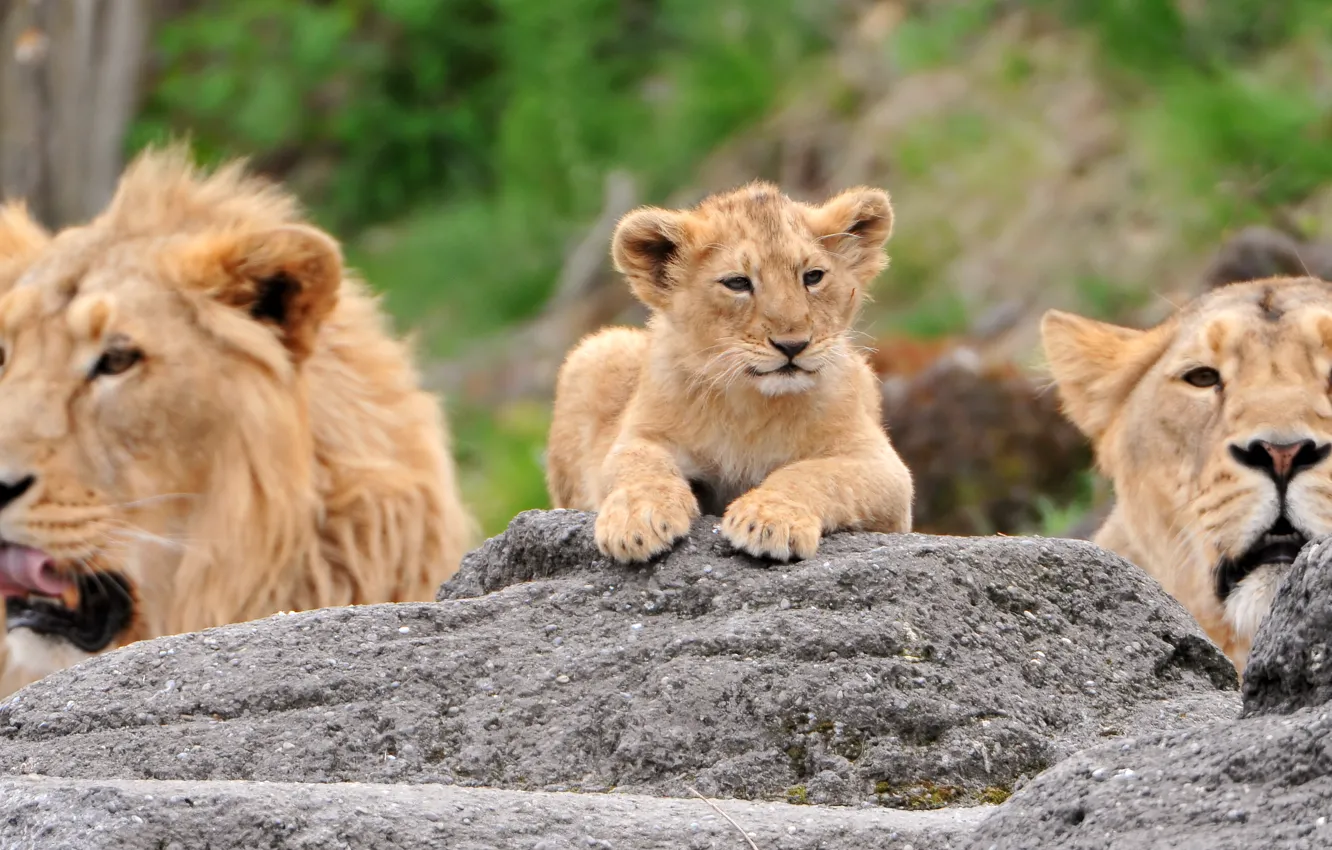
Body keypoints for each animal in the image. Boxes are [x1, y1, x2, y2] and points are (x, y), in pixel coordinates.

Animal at [545, 182, 913, 563]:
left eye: (813, 277)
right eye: (737, 283)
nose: (792, 345)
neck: (751, 404)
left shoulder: (884, 470)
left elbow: (813, 474)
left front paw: (769, 519)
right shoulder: (639, 435)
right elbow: (639, 465)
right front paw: (637, 520)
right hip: (597, 349)